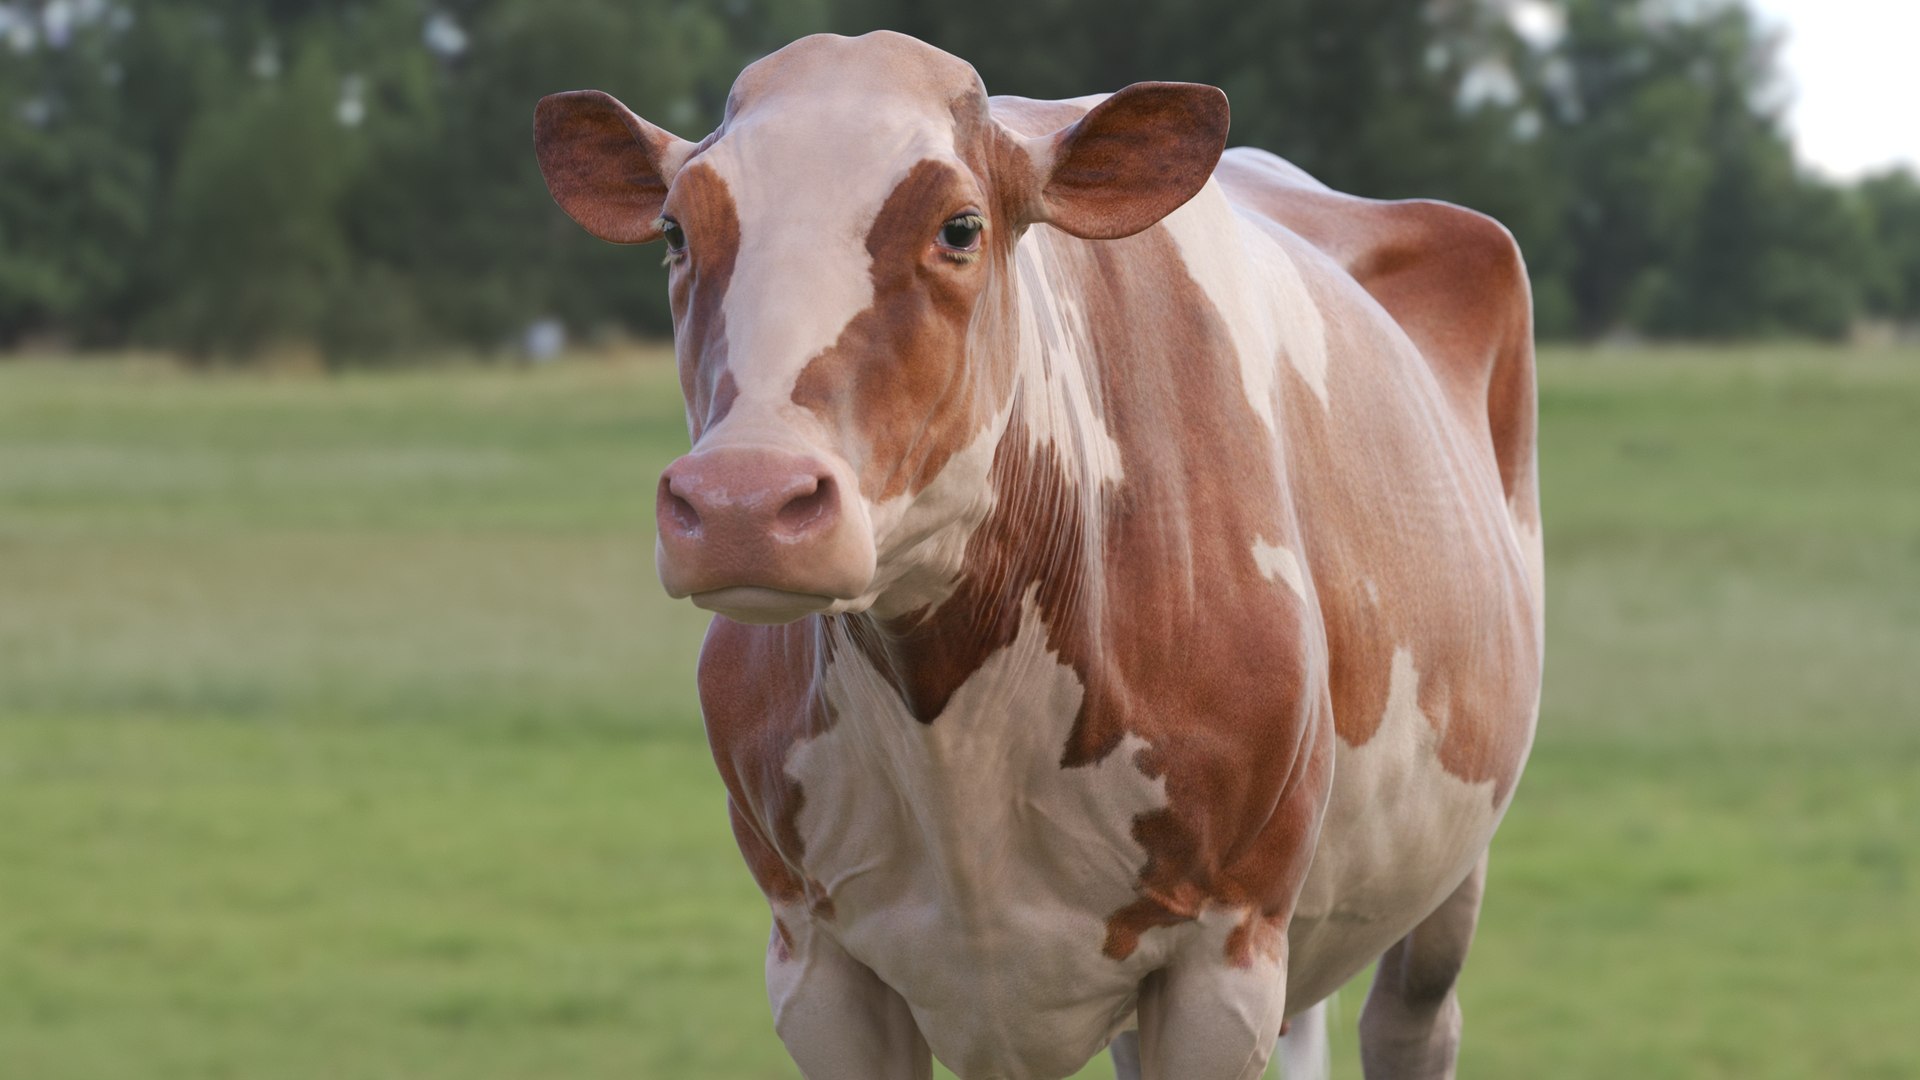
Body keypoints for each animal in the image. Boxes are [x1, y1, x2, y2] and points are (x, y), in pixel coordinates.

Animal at [534, 30, 1542, 1080]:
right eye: (674, 232)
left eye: (961, 227)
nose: (744, 501)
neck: (952, 717)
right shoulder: (813, 956)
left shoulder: (1225, 949)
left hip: (1445, 874)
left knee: (1412, 1021)